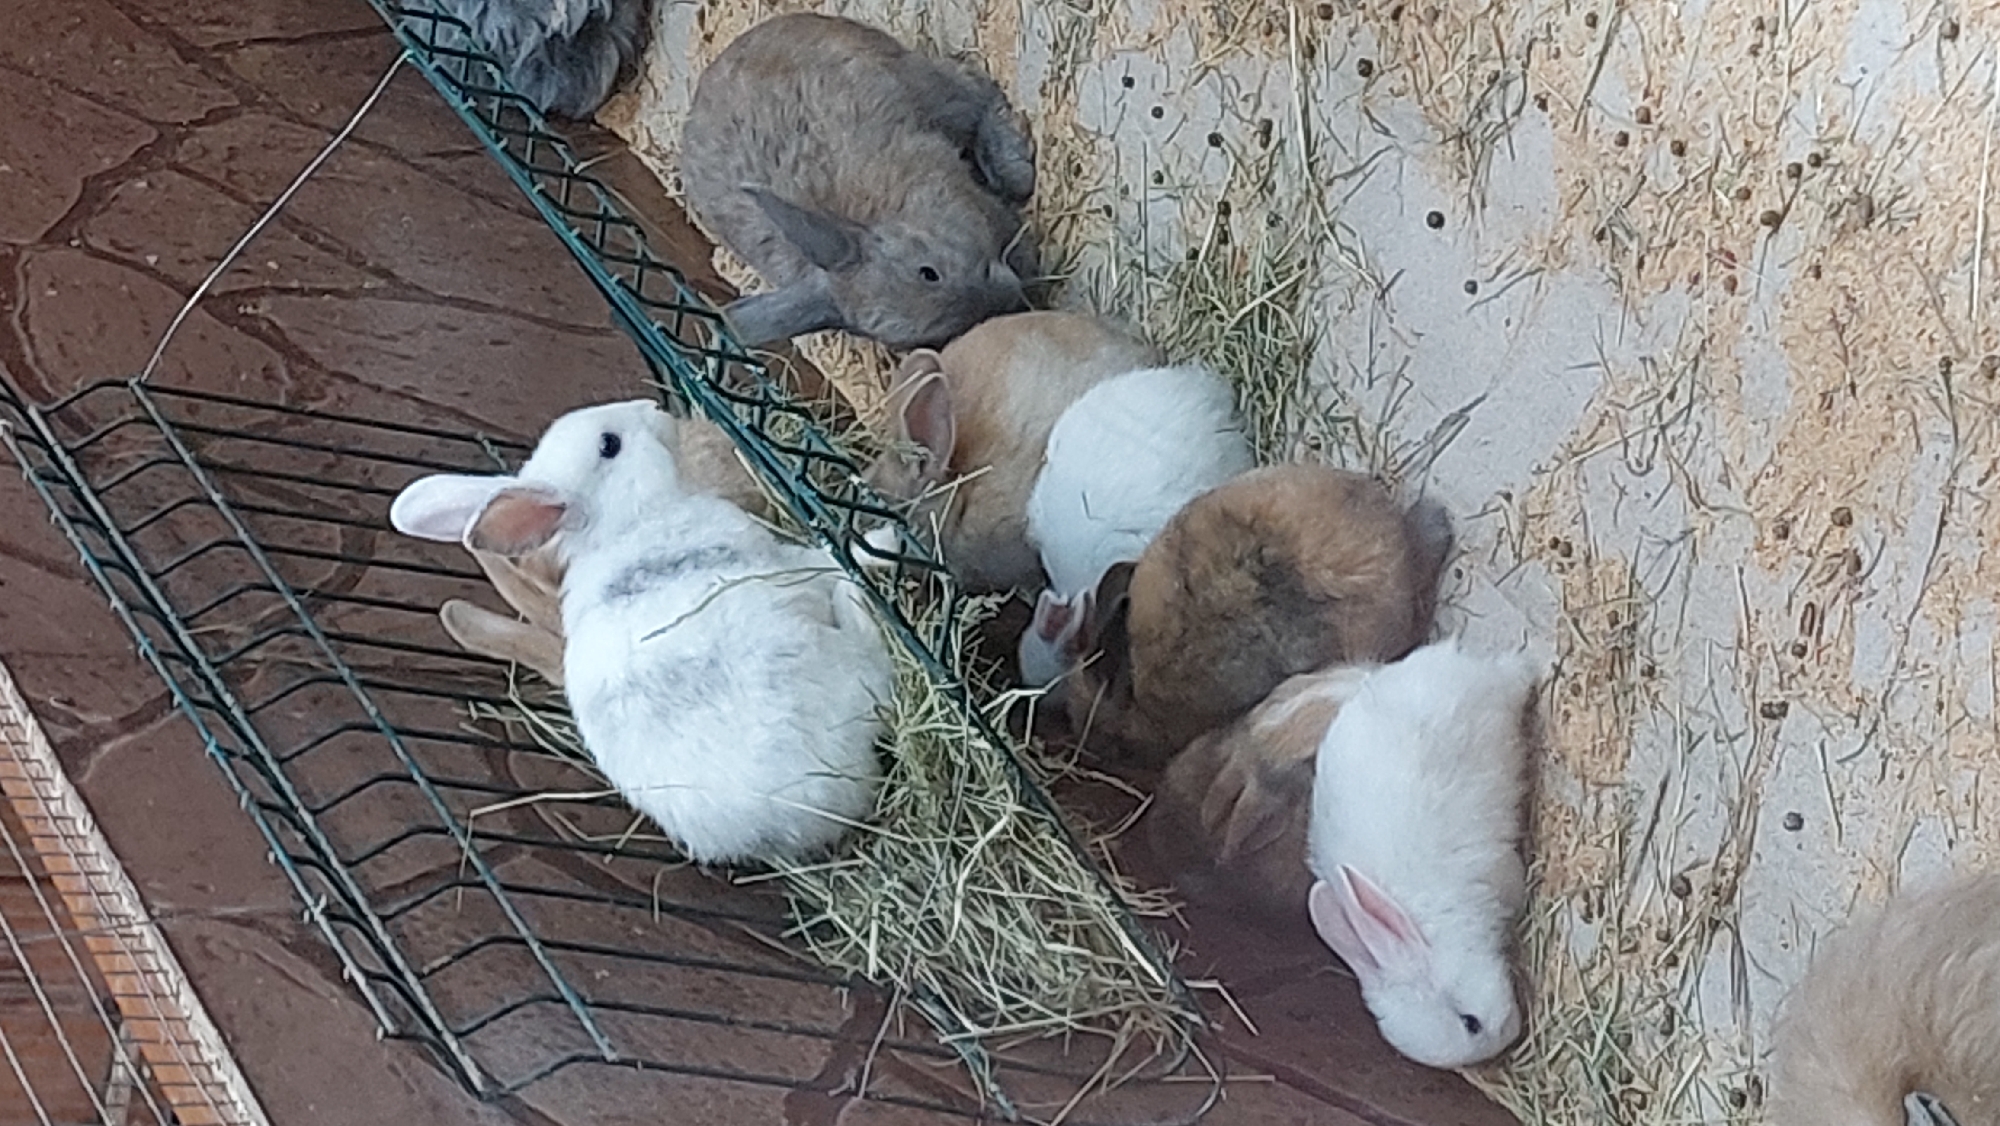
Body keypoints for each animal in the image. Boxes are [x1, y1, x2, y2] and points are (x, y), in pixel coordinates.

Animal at [680, 12, 1040, 350]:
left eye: (928, 272)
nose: (1008, 299)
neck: (886, 217)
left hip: (924, 85)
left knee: (974, 91)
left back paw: (1016, 172)